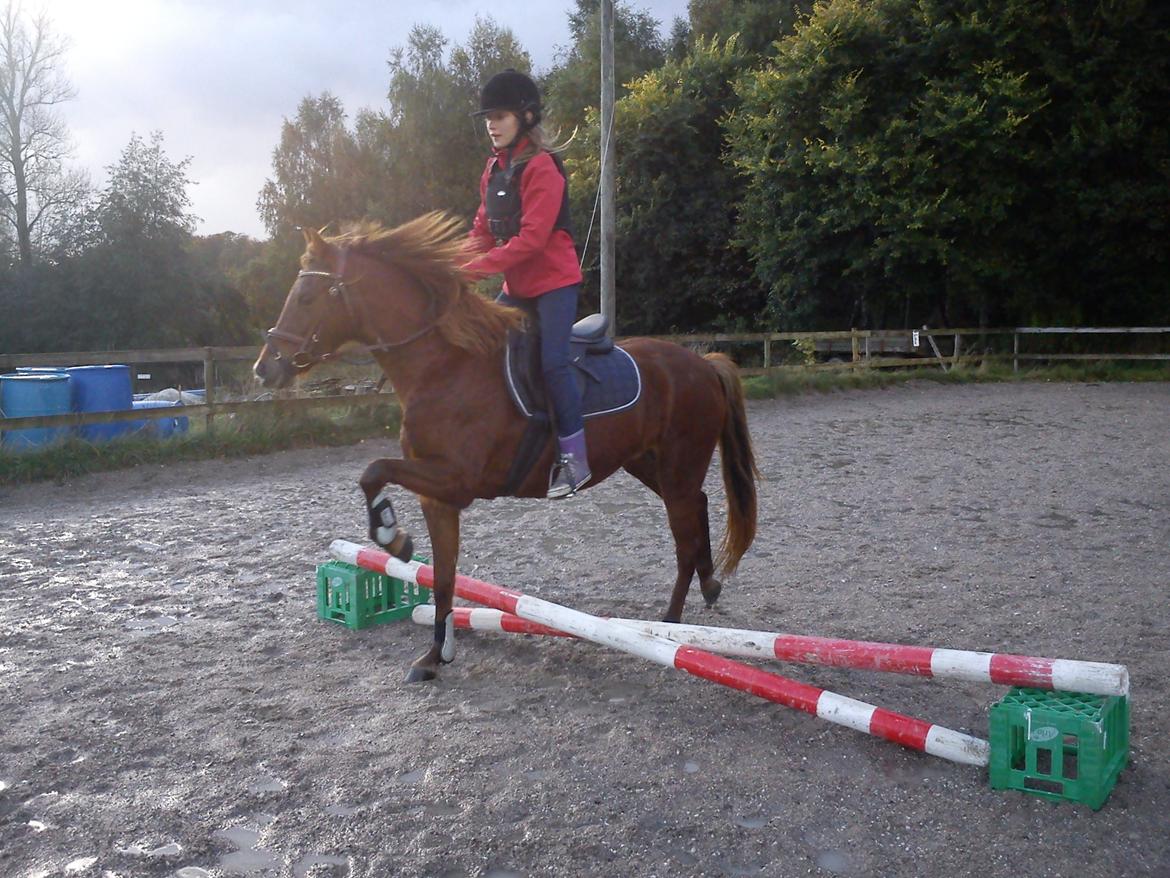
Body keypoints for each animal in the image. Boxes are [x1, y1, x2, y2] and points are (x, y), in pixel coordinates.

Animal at [254, 213, 759, 682]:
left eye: (306, 297)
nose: (265, 368)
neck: (443, 365)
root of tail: (701, 362)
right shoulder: (437, 497)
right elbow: (442, 577)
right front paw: (435, 655)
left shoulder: (457, 480)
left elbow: (373, 470)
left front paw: (391, 536)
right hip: (648, 464)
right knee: (699, 504)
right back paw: (709, 587)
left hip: (678, 464)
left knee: (684, 534)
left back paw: (672, 623)